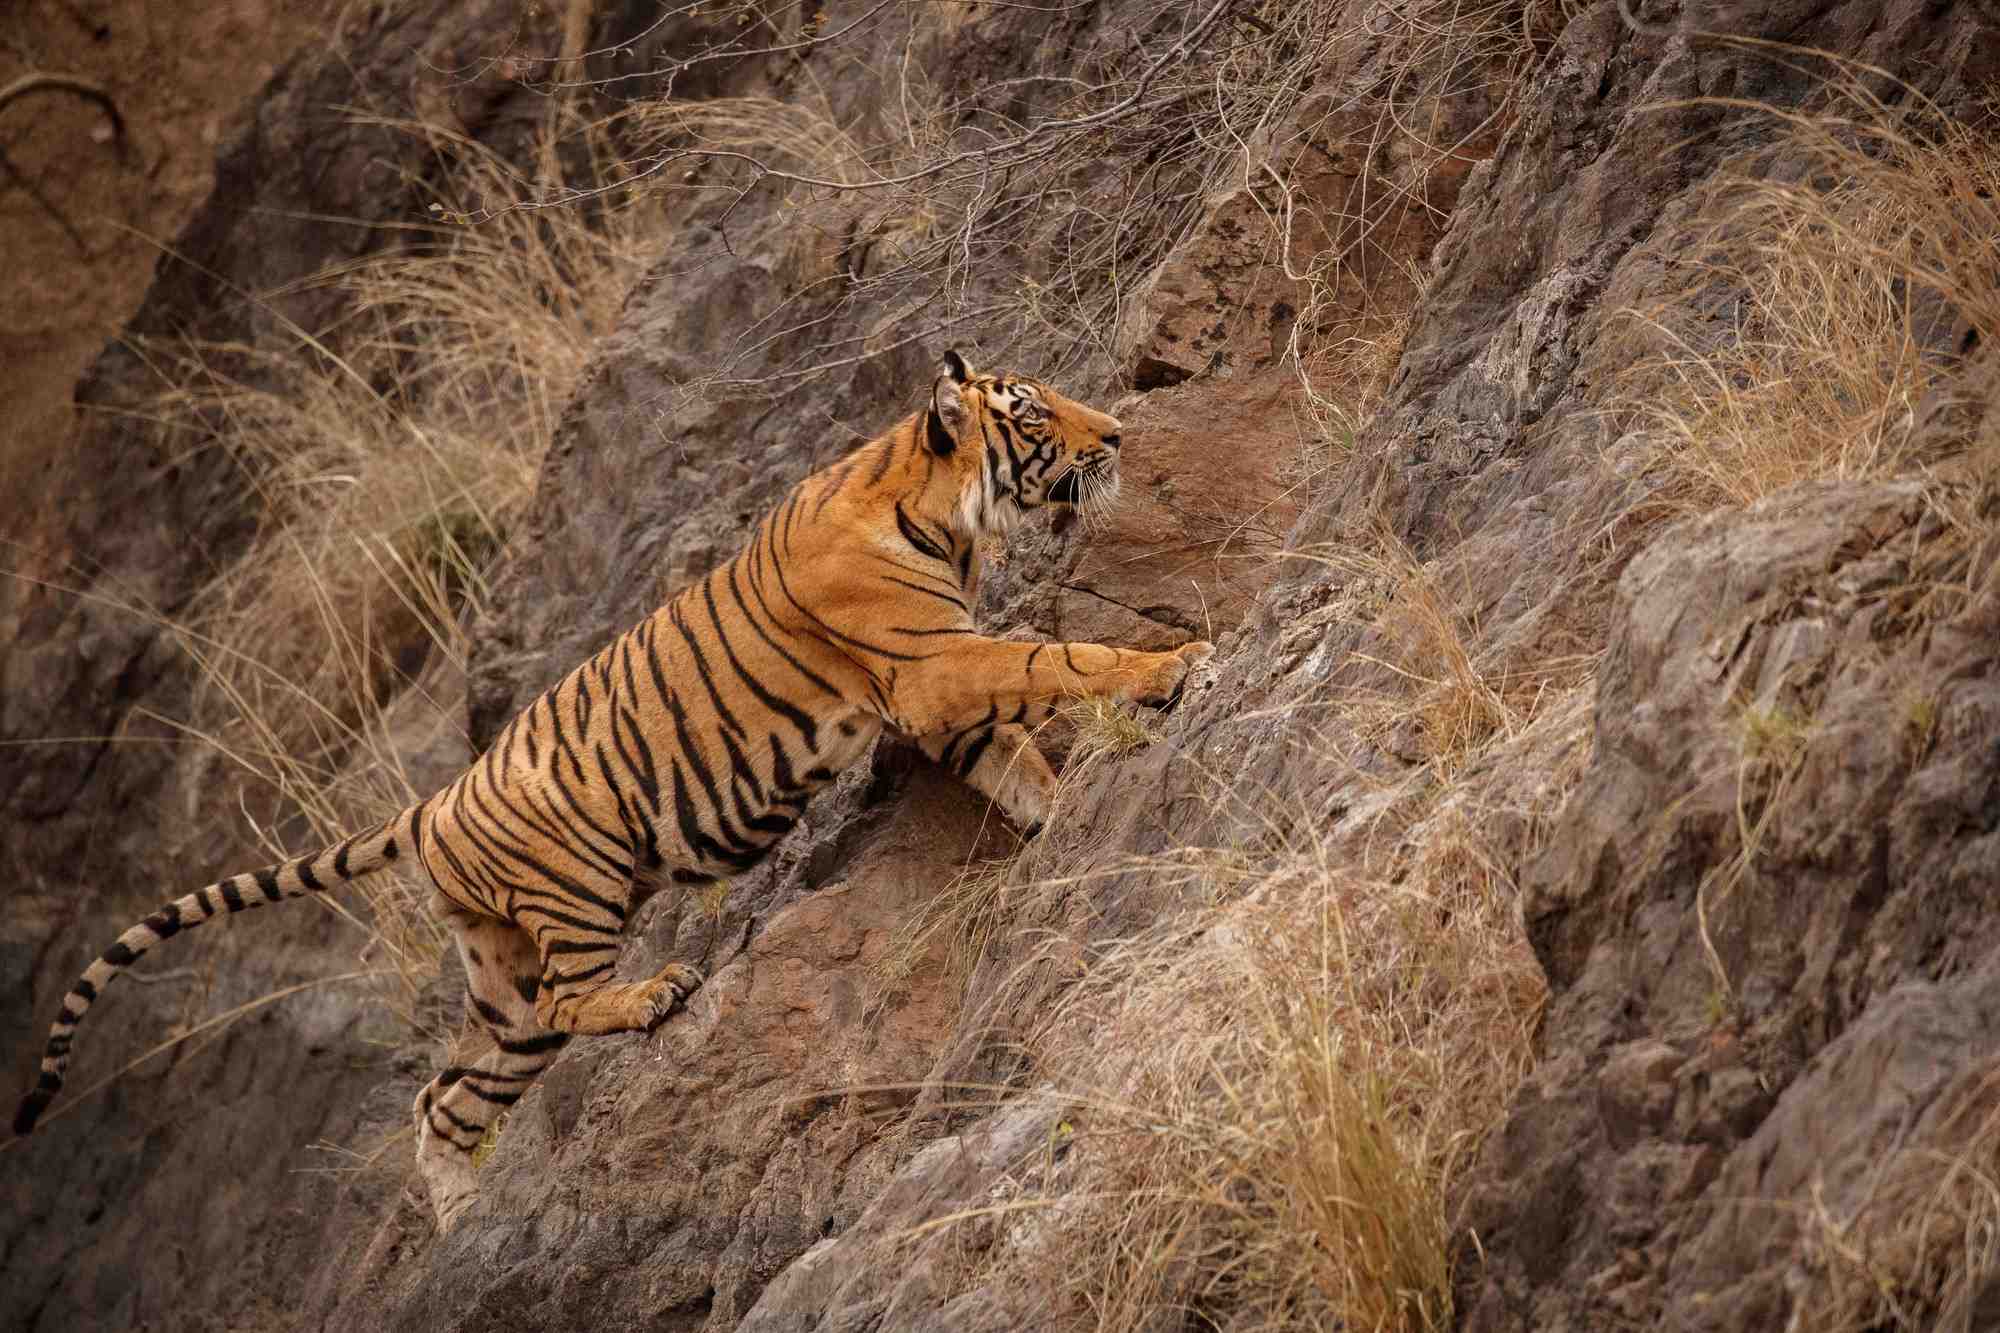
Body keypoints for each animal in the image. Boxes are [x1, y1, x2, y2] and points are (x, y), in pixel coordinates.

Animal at [15, 348, 1216, 1232]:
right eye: (1034, 410)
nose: (1117, 434)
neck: (939, 508)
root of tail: (431, 803)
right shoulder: (933, 668)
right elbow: (1053, 661)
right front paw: (1173, 667)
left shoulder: (934, 698)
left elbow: (1017, 755)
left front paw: (1058, 818)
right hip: (578, 891)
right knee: (561, 1005)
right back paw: (651, 996)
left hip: (496, 980)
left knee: (443, 1096)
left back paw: (459, 1220)